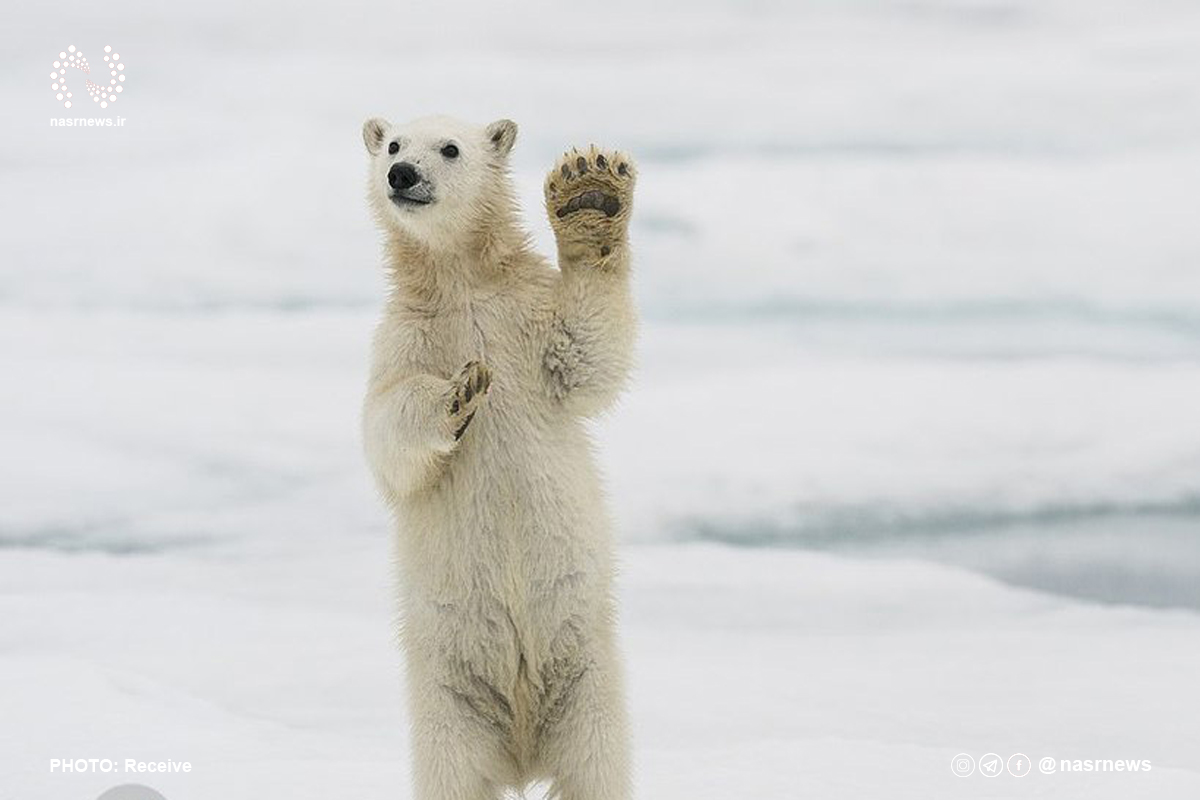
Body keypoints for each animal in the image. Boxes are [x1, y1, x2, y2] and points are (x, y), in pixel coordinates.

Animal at [357, 113, 633, 800]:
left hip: (588, 680)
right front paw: (458, 393)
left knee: (598, 768)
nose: (402, 174)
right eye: (393, 143)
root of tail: (522, 749)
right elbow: (387, 430)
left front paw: (589, 195)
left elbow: (586, 353)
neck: (462, 284)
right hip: (448, 701)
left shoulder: (526, 322)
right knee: (453, 776)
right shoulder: (402, 338)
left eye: (451, 148)